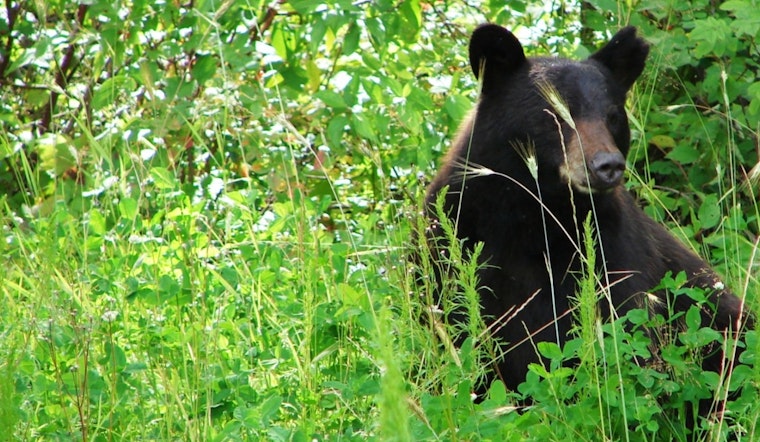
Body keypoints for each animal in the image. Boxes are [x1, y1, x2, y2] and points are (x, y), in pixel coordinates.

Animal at [423, 24, 751, 419]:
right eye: (555, 113)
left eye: (612, 116)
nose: (607, 165)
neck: (536, 214)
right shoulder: (454, 238)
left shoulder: (611, 250)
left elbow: (628, 329)